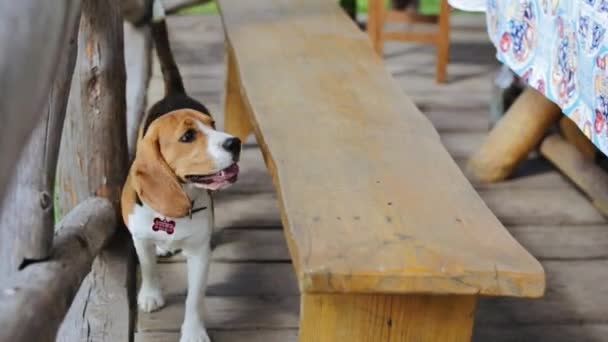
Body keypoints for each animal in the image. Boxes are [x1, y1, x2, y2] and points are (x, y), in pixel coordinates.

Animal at [121, 10, 240, 342]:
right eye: (188, 136)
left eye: (212, 125)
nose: (235, 142)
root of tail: (175, 92)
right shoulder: (138, 236)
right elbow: (148, 266)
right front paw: (150, 294)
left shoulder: (199, 253)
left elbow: (194, 298)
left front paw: (193, 332)